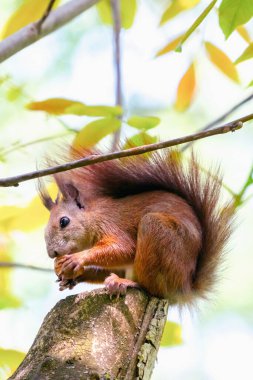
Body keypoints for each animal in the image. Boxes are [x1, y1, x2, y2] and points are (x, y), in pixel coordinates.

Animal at [39, 149, 233, 306]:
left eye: (64, 221)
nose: (52, 254)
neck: (94, 216)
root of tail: (184, 289)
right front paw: (71, 275)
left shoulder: (111, 225)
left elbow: (125, 248)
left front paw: (77, 259)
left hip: (157, 231)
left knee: (152, 288)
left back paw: (128, 283)